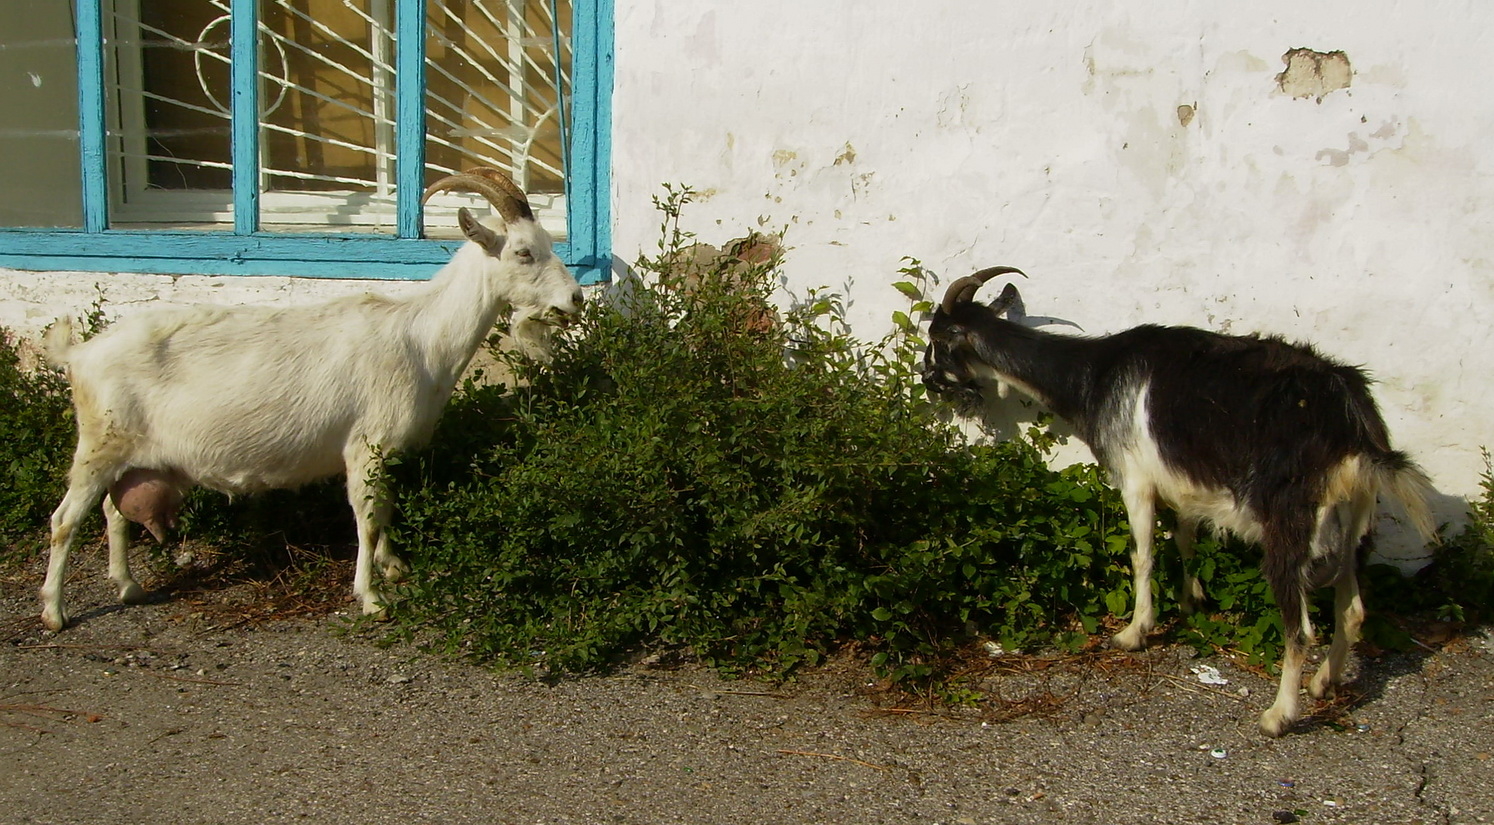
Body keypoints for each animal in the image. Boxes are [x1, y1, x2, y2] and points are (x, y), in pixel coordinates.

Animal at [37, 168, 579, 630]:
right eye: (523, 253)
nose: (574, 299)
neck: (419, 338)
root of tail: (80, 353)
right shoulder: (364, 446)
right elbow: (366, 517)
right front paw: (371, 597)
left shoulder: (384, 452)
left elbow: (384, 509)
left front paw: (393, 566)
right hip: (99, 445)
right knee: (64, 521)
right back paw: (54, 613)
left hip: (133, 457)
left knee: (112, 513)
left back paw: (128, 586)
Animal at [920, 267, 1434, 738]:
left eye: (938, 340)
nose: (926, 381)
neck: (1095, 376)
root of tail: (1353, 424)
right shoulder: (1180, 487)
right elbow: (1185, 541)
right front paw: (1192, 604)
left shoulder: (1134, 479)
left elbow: (1142, 555)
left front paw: (1134, 632)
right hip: (1355, 520)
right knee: (1353, 608)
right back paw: (1324, 683)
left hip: (1292, 521)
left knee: (1300, 627)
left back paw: (1279, 715)